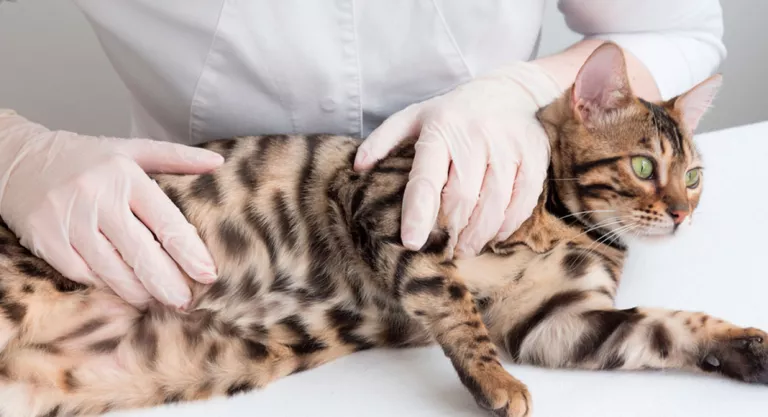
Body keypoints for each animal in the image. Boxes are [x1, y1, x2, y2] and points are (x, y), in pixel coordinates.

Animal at [0, 43, 760, 416]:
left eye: (695, 176)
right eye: (644, 165)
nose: (684, 213)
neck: (564, 222)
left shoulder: (557, 319)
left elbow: (669, 326)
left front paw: (748, 346)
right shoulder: (390, 201)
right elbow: (453, 301)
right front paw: (494, 380)